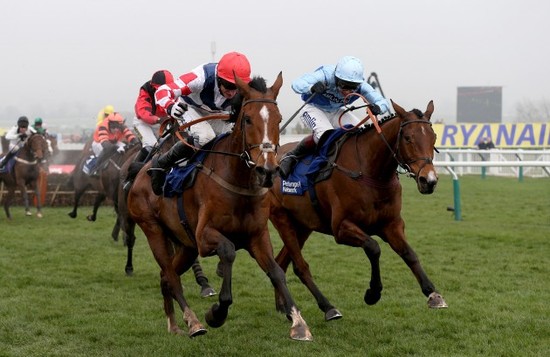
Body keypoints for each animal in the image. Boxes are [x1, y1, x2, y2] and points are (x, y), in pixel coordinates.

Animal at [127, 73, 312, 340]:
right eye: (247, 119)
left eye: (278, 119)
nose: (267, 170)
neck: (237, 181)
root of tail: (141, 171)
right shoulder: (205, 237)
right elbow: (228, 250)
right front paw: (216, 313)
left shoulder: (258, 236)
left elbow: (276, 271)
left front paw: (298, 322)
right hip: (153, 230)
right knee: (171, 277)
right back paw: (193, 322)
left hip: (185, 245)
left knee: (165, 276)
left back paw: (173, 324)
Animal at [270, 99, 448, 320]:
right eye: (408, 138)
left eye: (433, 137)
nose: (429, 180)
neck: (370, 172)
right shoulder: (341, 228)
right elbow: (373, 247)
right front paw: (373, 293)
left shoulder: (392, 224)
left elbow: (409, 253)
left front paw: (432, 293)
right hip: (281, 218)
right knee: (300, 267)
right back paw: (328, 307)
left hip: (302, 225)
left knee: (281, 262)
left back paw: (284, 307)